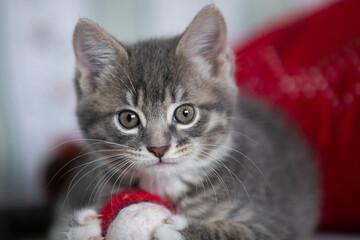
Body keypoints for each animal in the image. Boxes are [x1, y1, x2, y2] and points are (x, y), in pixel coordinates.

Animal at [52, 5, 318, 240]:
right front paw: (78, 229)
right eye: (128, 119)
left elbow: (243, 233)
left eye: (185, 113)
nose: (158, 148)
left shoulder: (279, 222)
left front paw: (183, 231)